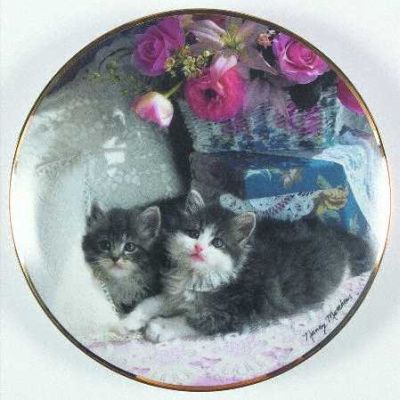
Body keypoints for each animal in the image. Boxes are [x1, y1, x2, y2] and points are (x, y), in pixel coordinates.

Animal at [124, 190, 373, 342]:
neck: (196, 275)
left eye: (218, 243)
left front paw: (160, 327)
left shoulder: (236, 312)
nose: (198, 248)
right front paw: (128, 321)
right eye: (193, 233)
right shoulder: (178, 292)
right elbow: (153, 302)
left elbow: (194, 320)